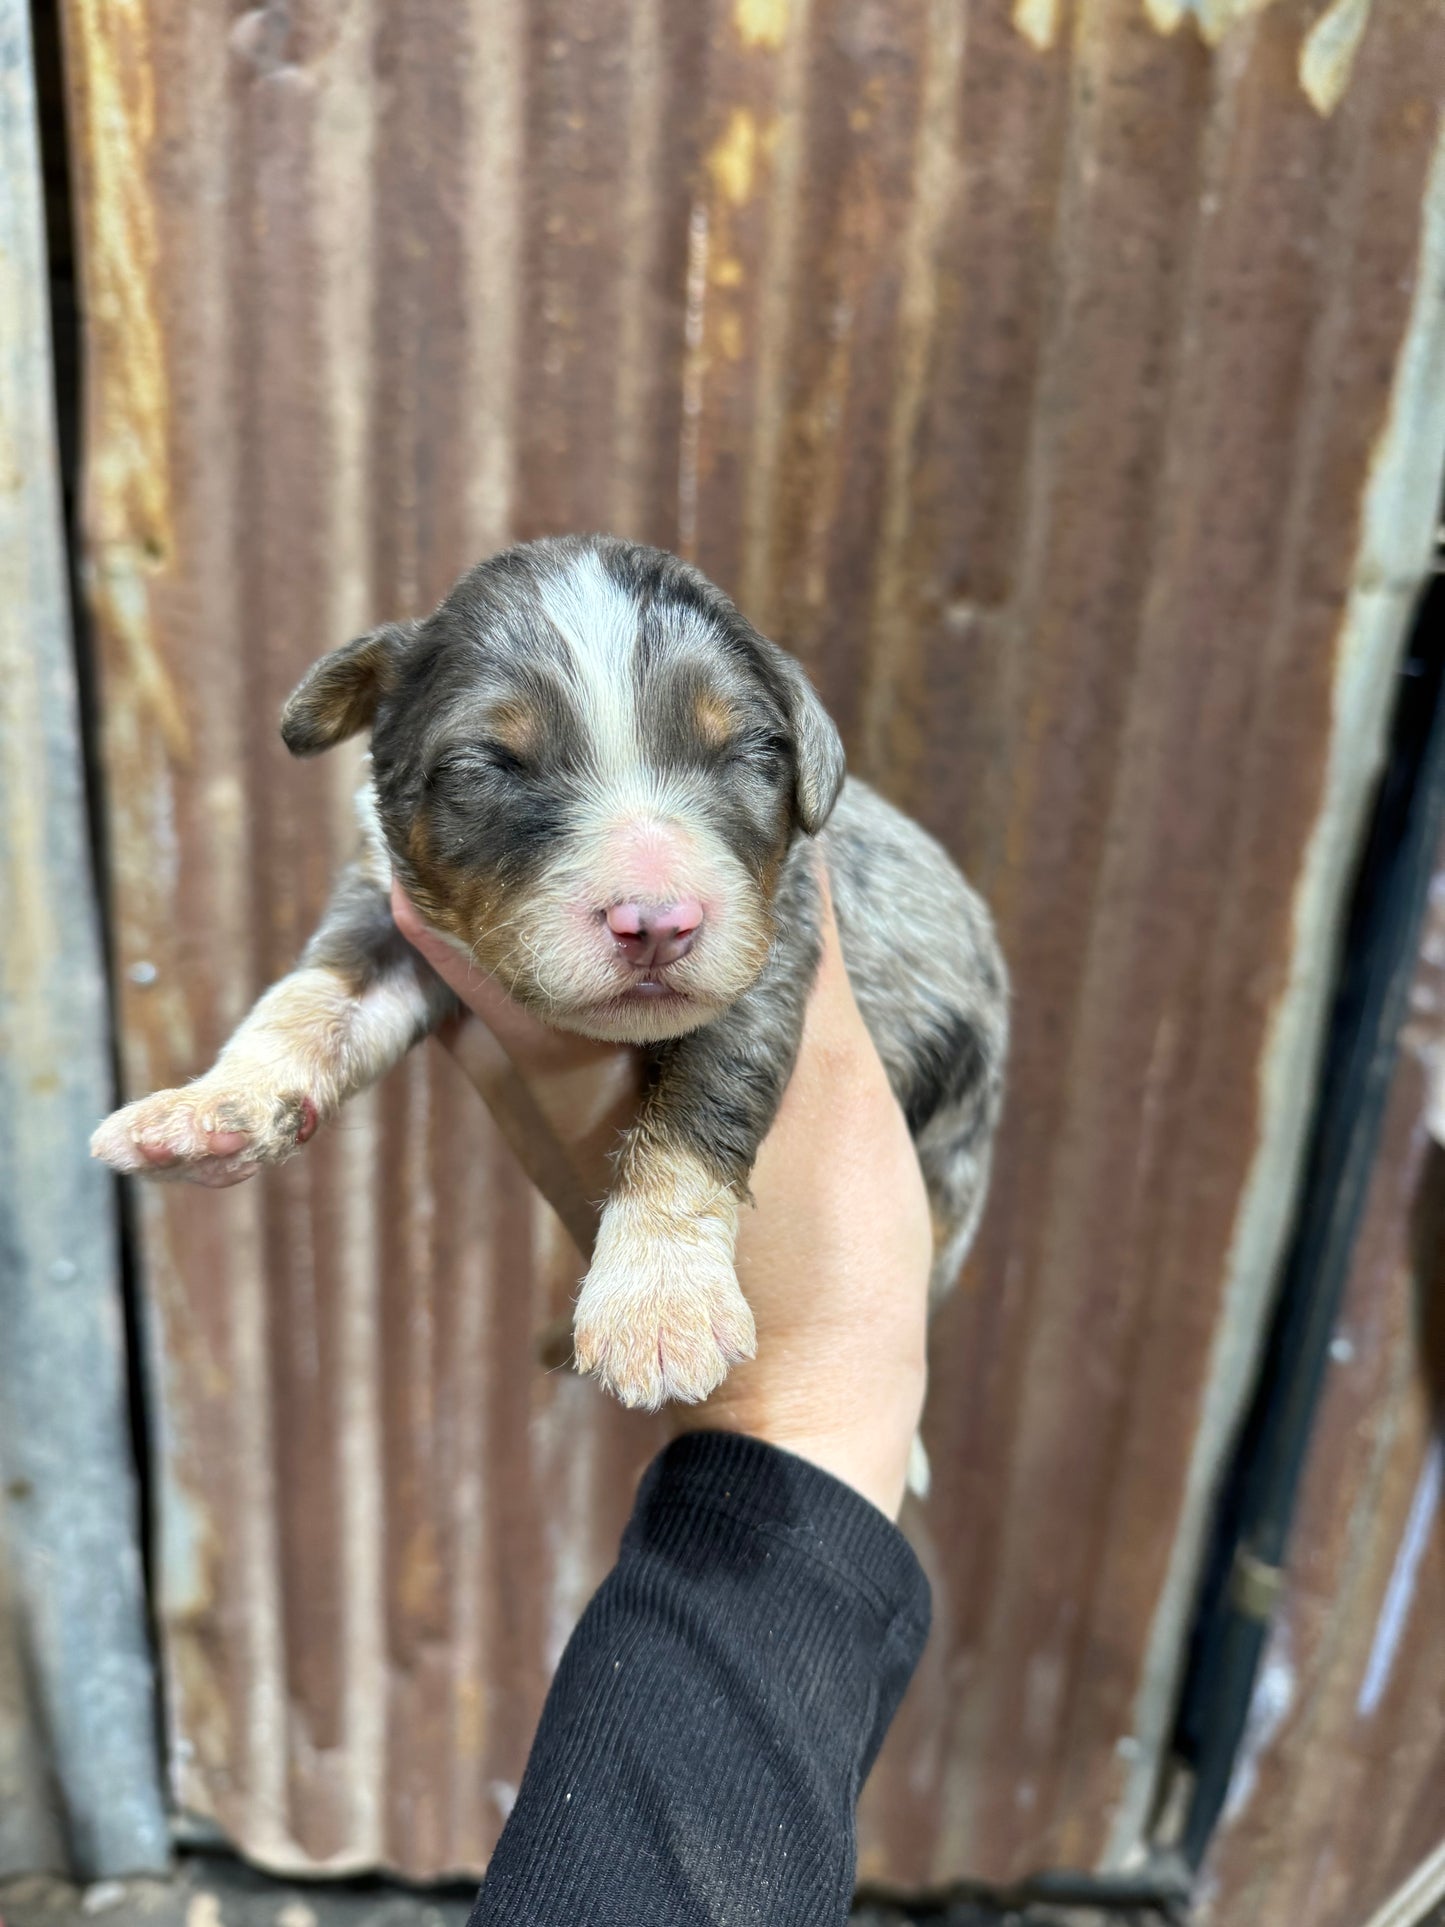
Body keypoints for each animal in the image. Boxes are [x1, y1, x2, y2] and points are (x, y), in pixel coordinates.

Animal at [90, 535, 1009, 1410]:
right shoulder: (392, 923)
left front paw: (659, 1302)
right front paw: (211, 1107)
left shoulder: (772, 948)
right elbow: (308, 997)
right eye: (490, 764)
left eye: (750, 752)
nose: (658, 924)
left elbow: (699, 1102)